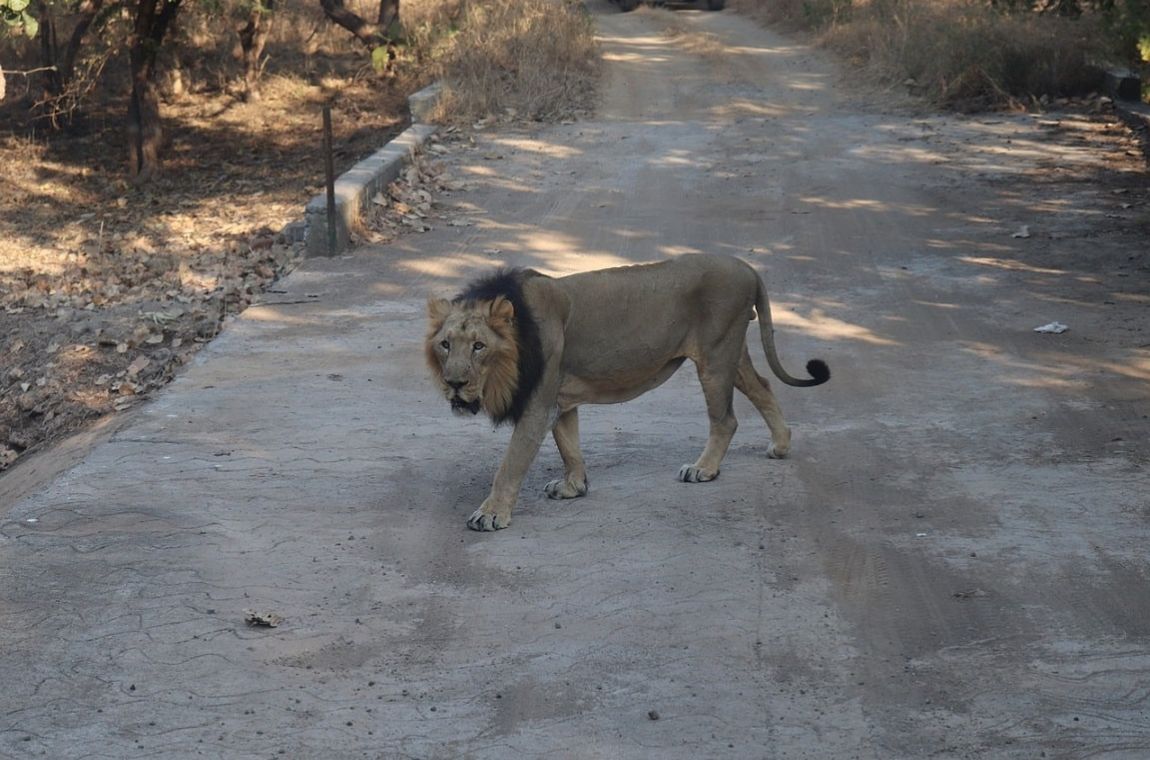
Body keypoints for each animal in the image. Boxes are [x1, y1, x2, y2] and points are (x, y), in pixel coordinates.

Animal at [423, 251, 828, 531]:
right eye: (446, 344)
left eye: (479, 346)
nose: (454, 383)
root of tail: (746, 266)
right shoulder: (560, 397)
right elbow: (568, 444)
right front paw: (574, 487)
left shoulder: (537, 402)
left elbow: (510, 464)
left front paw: (491, 514)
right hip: (730, 353)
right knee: (763, 387)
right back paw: (780, 444)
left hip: (715, 357)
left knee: (725, 419)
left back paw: (703, 469)